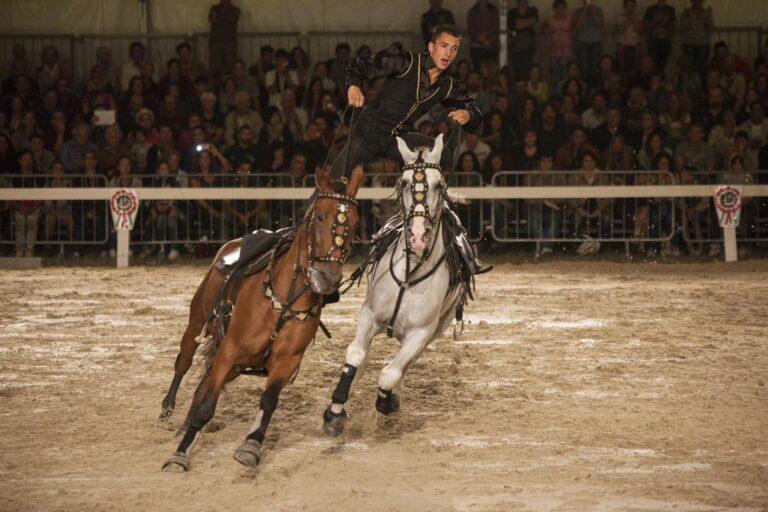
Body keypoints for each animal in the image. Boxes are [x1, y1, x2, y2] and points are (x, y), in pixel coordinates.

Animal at [160, 165, 364, 472]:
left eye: (353, 221)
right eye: (319, 216)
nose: (327, 278)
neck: (284, 299)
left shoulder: (286, 361)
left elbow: (267, 401)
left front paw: (251, 445)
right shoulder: (229, 351)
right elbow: (206, 406)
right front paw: (180, 454)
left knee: (204, 382)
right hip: (197, 323)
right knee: (183, 363)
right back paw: (168, 410)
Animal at [322, 134, 474, 436]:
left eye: (439, 185)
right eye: (403, 182)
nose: (417, 235)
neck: (409, 274)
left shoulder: (420, 333)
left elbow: (391, 372)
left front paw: (387, 401)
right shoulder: (368, 316)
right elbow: (355, 355)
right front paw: (336, 410)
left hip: (437, 329)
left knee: (404, 366)